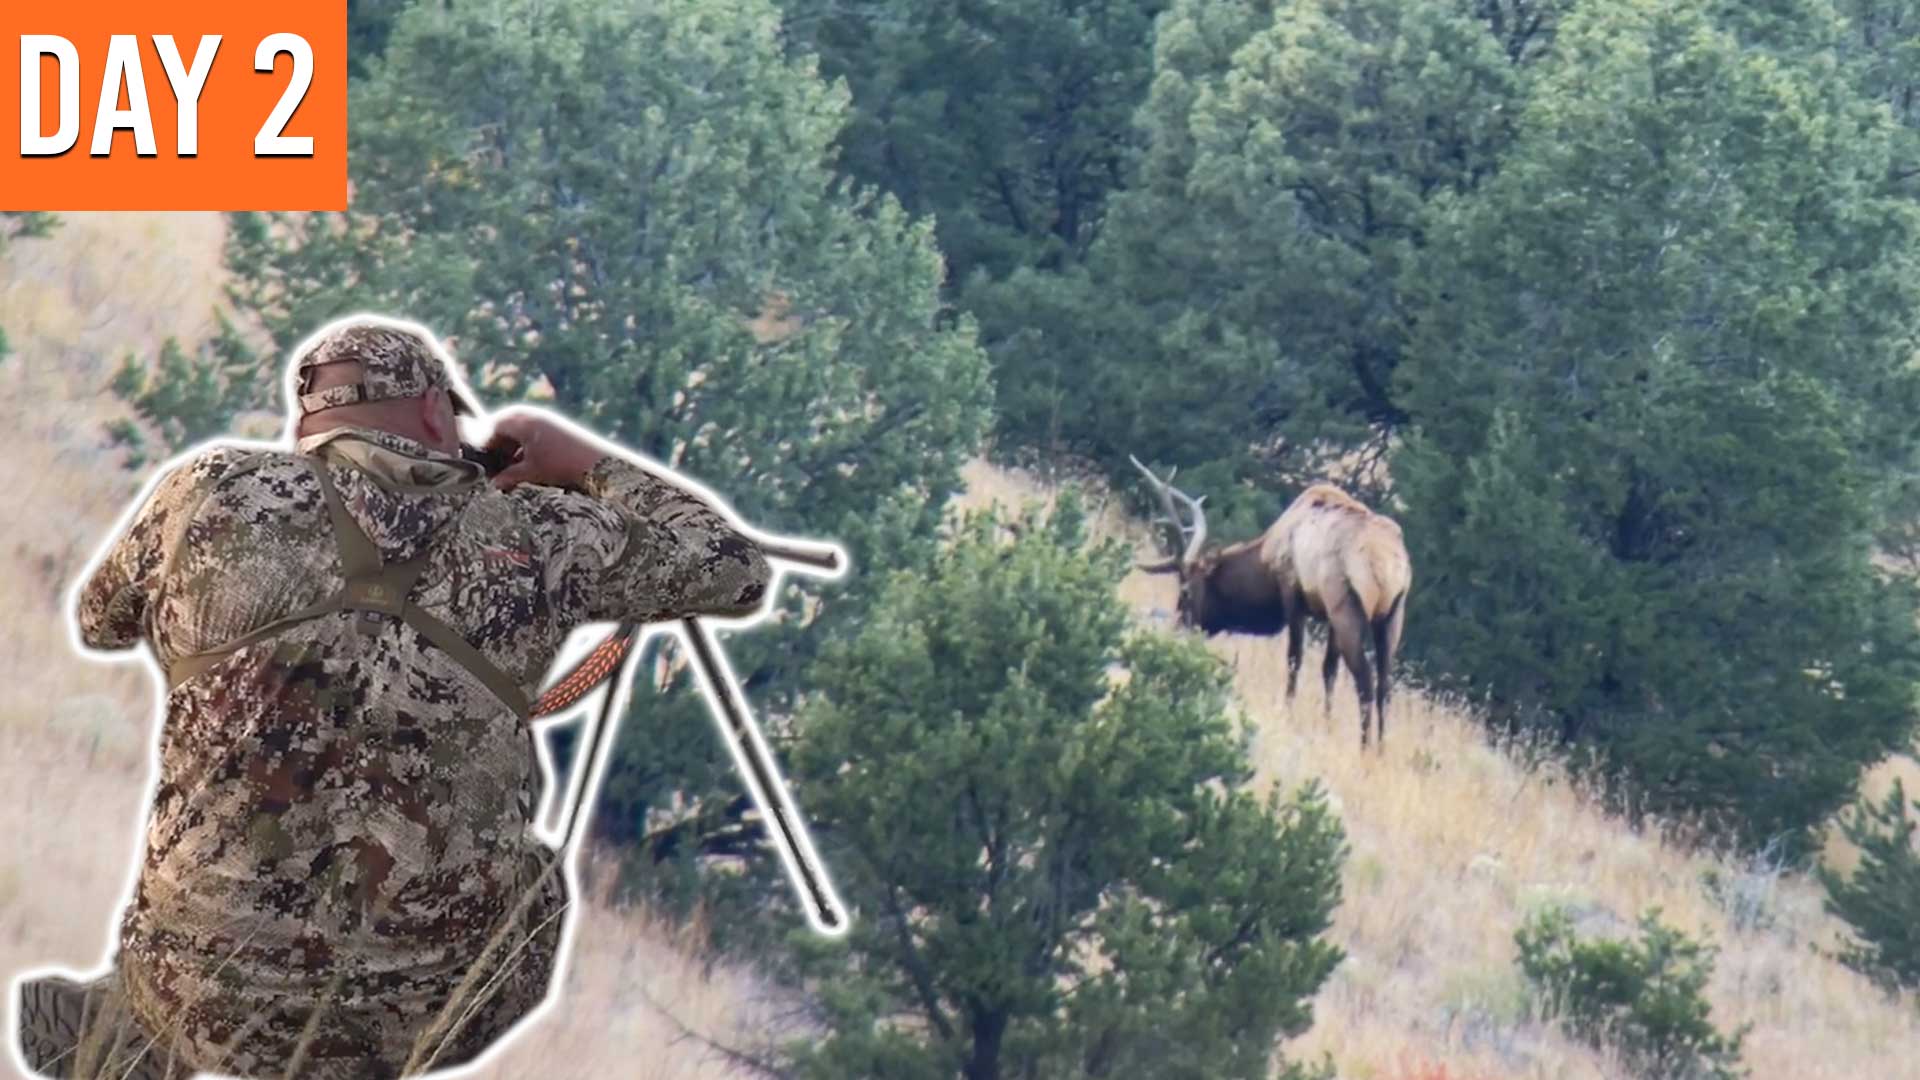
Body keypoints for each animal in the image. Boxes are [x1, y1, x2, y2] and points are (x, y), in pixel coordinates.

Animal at [1129, 455, 1411, 750]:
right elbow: (1328, 670)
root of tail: (1387, 565)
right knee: (1384, 685)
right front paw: (1327, 723)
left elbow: (1294, 659)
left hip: (1349, 607)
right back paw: (1381, 748)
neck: (1265, 560)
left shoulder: (1292, 593)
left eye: (1185, 592)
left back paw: (1365, 747)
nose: (1177, 630)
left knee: (1365, 680)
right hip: (1392, 615)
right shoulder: (1327, 614)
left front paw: (1288, 712)